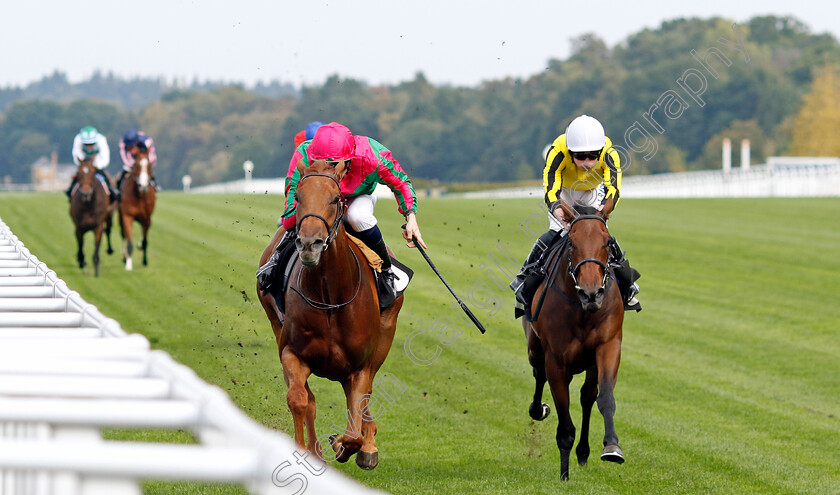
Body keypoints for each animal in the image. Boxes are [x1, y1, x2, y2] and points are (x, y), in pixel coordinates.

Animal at [256, 161, 404, 470]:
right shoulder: (291, 352)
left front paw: (347, 444)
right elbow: (300, 399)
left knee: (365, 398)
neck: (330, 298)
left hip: (384, 338)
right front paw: (307, 449)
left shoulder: (360, 365)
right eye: (298, 197)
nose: (309, 243)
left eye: (336, 199)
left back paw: (368, 445)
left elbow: (355, 424)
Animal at [520, 204, 628, 480]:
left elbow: (604, 398)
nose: (591, 293)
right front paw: (564, 475)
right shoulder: (556, 361)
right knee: (539, 375)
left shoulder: (608, 346)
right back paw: (538, 410)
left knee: (587, 396)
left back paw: (583, 452)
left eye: (607, 242)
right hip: (535, 348)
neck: (582, 310)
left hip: (589, 362)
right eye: (572, 243)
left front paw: (612, 447)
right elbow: (565, 421)